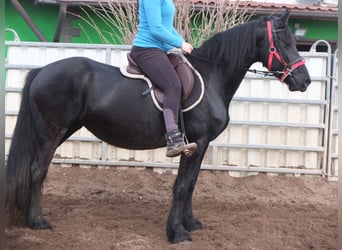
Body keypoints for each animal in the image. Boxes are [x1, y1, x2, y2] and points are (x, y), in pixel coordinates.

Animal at [6, 10, 310, 243]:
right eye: (284, 41)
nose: (304, 80)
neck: (212, 75)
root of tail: (41, 71)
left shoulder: (201, 145)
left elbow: (192, 183)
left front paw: (190, 223)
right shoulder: (196, 142)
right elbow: (182, 184)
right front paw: (177, 233)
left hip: (61, 130)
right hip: (52, 131)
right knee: (37, 170)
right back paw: (37, 221)